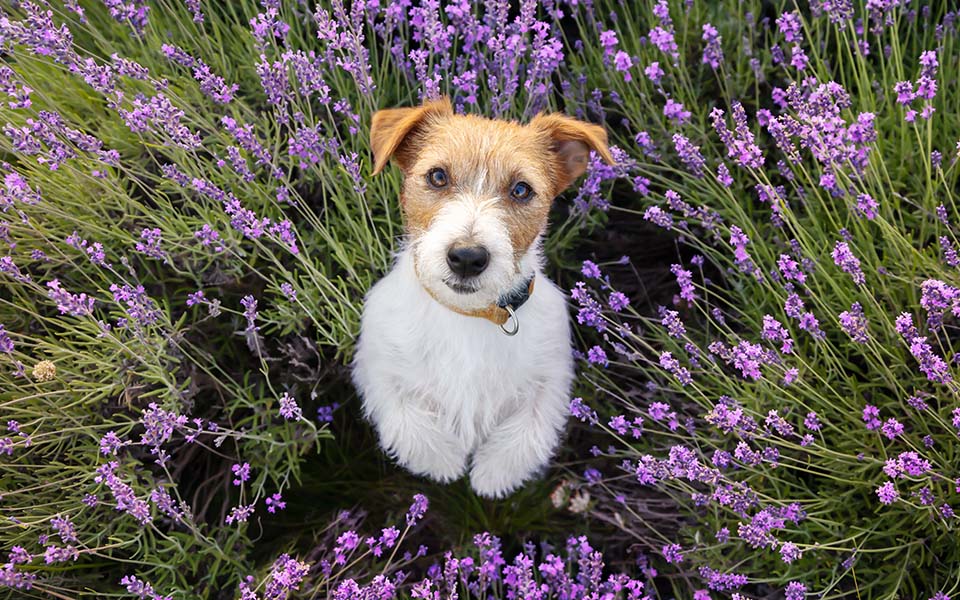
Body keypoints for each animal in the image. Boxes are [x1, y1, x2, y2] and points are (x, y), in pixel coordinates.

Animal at [352, 95, 616, 496]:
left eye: (521, 190)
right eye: (438, 176)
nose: (466, 257)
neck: (468, 315)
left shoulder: (551, 375)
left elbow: (528, 430)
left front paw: (491, 476)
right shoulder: (378, 364)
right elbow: (407, 418)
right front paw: (444, 463)